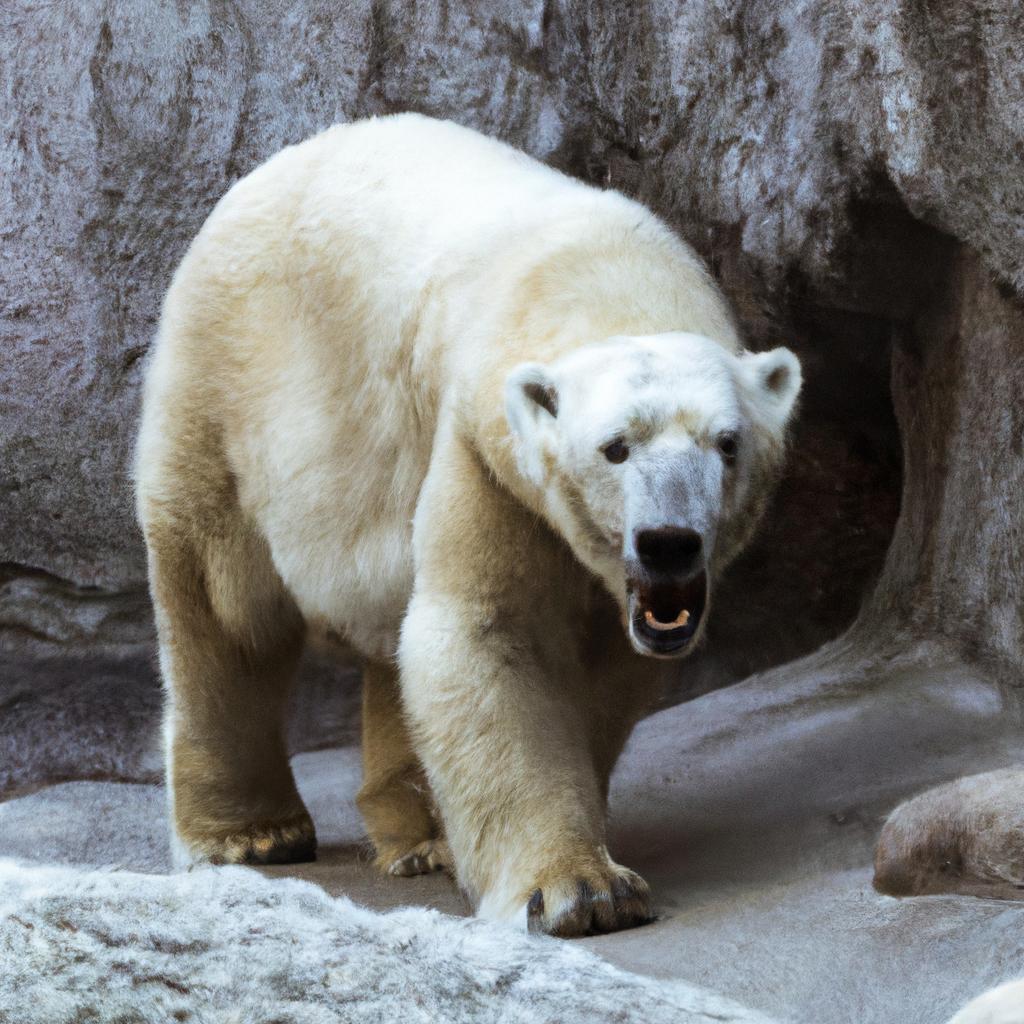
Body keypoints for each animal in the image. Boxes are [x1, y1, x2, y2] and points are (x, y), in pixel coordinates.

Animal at [134, 114, 798, 937]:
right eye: (614, 448)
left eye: (728, 444)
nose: (668, 544)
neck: (606, 278)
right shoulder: (483, 449)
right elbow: (488, 632)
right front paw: (577, 890)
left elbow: (598, 660)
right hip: (225, 388)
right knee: (222, 603)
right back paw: (249, 835)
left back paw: (422, 838)